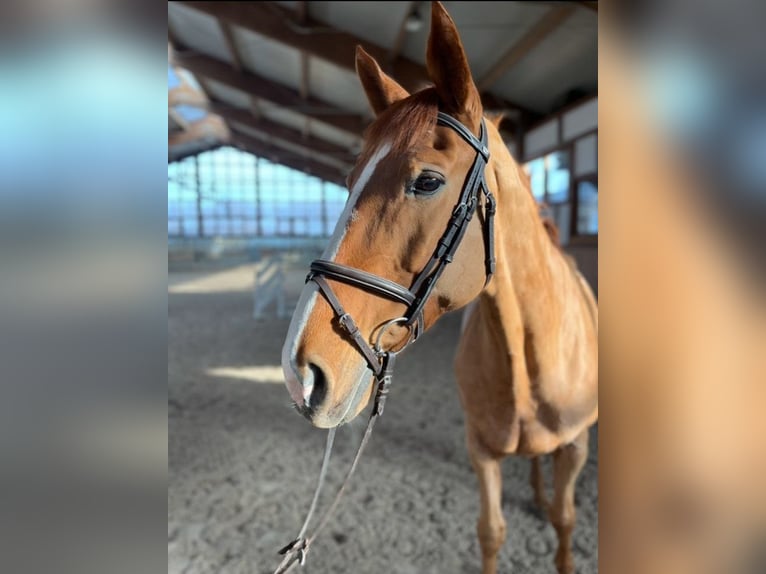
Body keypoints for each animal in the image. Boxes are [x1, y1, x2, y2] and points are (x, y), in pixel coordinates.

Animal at [282, 2, 600, 572]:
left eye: (427, 181)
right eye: (350, 181)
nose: (300, 374)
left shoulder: (577, 446)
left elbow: (565, 522)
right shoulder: (481, 450)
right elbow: (491, 532)